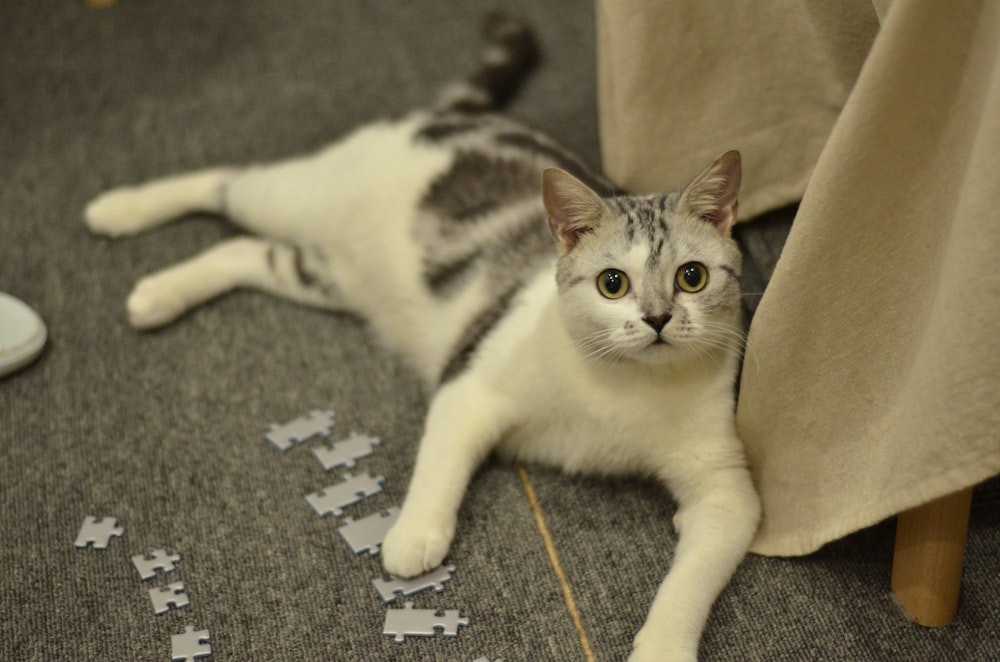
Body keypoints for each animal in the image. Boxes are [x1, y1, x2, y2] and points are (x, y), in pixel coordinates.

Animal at [84, 11, 756, 662]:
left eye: (691, 277)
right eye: (613, 283)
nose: (658, 318)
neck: (619, 389)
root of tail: (460, 112)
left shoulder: (727, 491)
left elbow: (690, 581)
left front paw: (662, 647)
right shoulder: (471, 379)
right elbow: (440, 462)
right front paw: (412, 537)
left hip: (326, 275)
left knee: (244, 251)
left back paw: (157, 295)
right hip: (294, 196)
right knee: (227, 180)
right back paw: (117, 210)